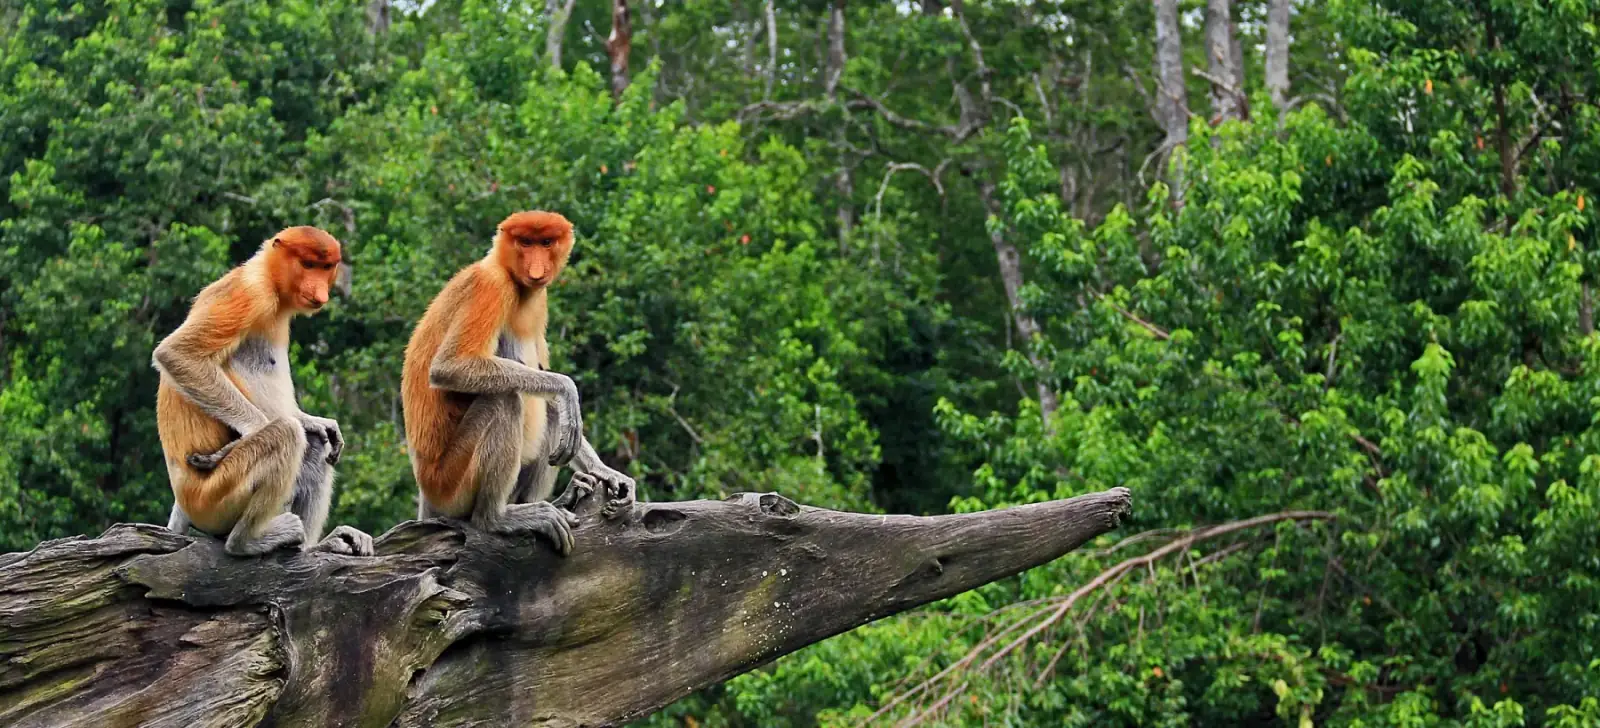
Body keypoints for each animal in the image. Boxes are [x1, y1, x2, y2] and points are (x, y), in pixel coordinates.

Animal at [154, 226, 374, 557]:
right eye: (308, 264)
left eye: (326, 267)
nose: (320, 291)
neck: (268, 276)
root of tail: (183, 500)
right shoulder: (249, 294)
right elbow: (177, 354)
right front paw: (249, 434)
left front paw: (320, 423)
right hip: (213, 497)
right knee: (286, 435)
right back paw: (247, 541)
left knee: (314, 445)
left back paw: (314, 546)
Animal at [401, 210, 636, 555]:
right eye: (525, 242)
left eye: (546, 242)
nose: (536, 269)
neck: (510, 275)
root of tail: (426, 496)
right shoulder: (491, 287)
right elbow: (449, 367)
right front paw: (567, 389)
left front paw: (608, 473)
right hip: (450, 485)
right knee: (504, 398)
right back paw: (496, 518)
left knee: (548, 409)